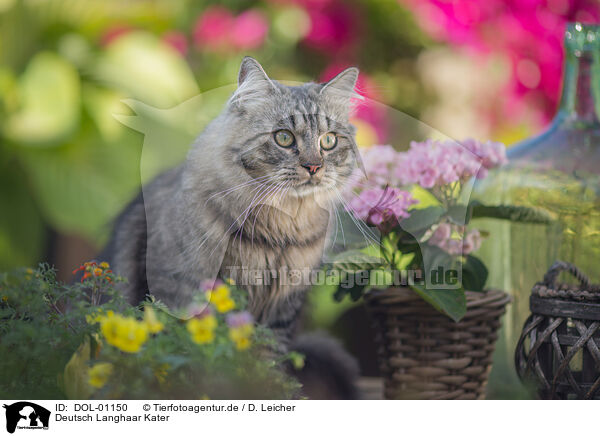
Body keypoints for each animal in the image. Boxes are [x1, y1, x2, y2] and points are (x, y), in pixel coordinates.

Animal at [103, 57, 360, 396]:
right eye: (284, 137)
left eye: (328, 141)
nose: (314, 167)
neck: (279, 231)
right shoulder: (185, 293)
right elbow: (193, 359)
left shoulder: (282, 312)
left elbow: (268, 364)